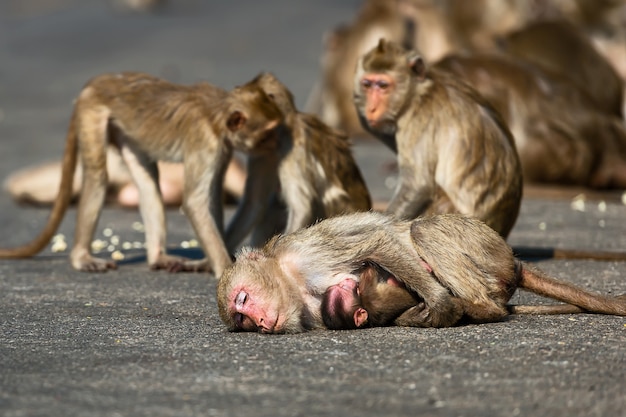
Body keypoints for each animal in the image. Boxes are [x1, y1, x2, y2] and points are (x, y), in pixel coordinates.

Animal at [0, 70, 282, 276]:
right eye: (267, 133)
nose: (275, 144)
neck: (218, 113)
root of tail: (103, 79)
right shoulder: (206, 143)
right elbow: (195, 202)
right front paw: (224, 268)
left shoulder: (222, 149)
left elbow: (210, 198)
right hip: (92, 112)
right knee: (98, 176)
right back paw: (81, 256)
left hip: (124, 129)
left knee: (148, 182)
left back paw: (157, 256)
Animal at [216, 210, 624, 334]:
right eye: (242, 320)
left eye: (243, 299)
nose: (260, 322)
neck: (292, 282)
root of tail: (512, 262)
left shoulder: (306, 255)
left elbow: (377, 241)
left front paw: (442, 306)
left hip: (480, 243)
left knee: (422, 229)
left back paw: (474, 308)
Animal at [352, 39, 520, 237]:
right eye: (367, 85)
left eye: (383, 85)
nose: (371, 109)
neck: (419, 92)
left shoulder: (418, 119)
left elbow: (417, 185)